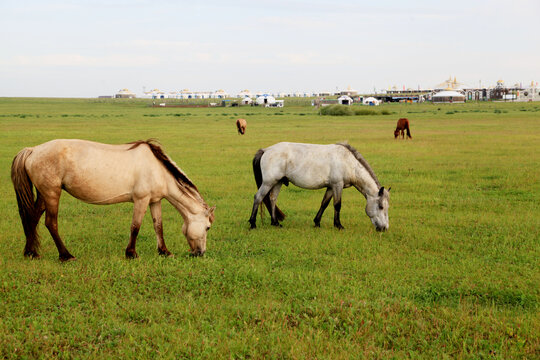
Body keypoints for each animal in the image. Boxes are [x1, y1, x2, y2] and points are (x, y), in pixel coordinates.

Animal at [11, 139, 214, 260]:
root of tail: (32, 150)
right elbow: (135, 227)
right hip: (52, 193)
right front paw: (131, 253)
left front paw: (164, 251)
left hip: (44, 194)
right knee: (51, 223)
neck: (157, 169)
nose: (200, 253)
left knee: (33, 218)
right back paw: (66, 255)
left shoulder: (154, 201)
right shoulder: (141, 200)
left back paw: (30, 252)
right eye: (207, 227)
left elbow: (158, 226)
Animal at [247, 141, 390, 229]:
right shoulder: (337, 185)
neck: (348, 162)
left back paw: (275, 223)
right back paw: (253, 223)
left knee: (272, 199)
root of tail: (266, 150)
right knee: (258, 197)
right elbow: (337, 205)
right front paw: (338, 225)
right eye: (381, 206)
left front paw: (317, 222)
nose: (384, 228)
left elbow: (324, 204)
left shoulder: (331, 187)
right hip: (268, 182)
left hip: (278, 182)